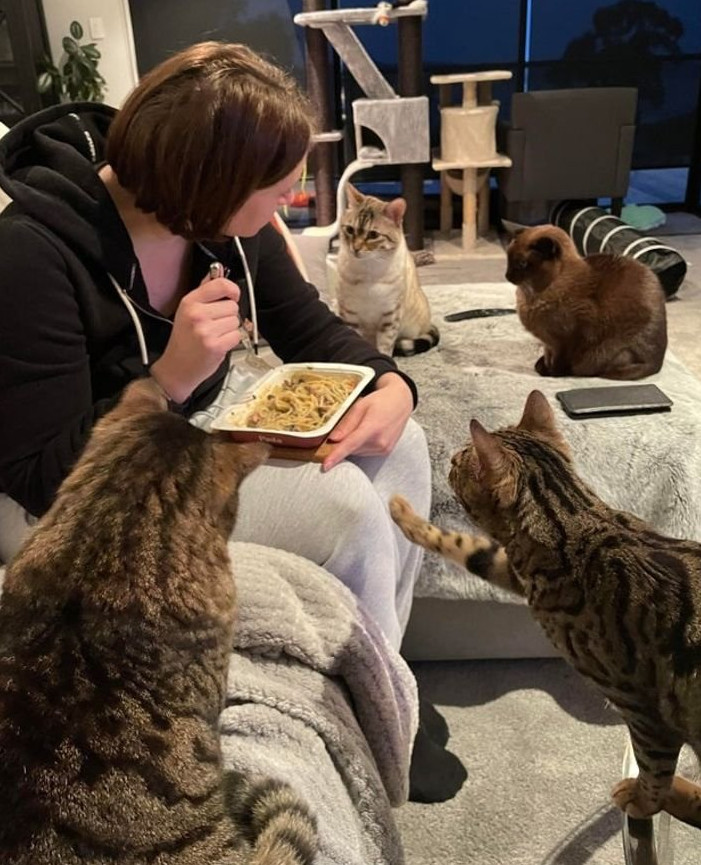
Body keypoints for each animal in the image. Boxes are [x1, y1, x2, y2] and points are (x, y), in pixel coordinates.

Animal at [335, 183, 439, 357]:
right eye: (350, 230)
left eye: (373, 235)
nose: (355, 248)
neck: (368, 270)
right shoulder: (350, 316)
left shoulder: (390, 317)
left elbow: (384, 347)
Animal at [390, 389, 701, 829]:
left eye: (459, 460)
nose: (448, 459)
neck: (577, 519)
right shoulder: (517, 570)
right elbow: (462, 545)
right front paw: (402, 513)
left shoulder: (646, 715)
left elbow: (653, 771)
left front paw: (645, 802)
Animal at [506, 224, 667, 380]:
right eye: (508, 260)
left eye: (522, 264)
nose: (507, 276)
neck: (532, 295)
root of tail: (658, 364)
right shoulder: (548, 343)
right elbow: (547, 356)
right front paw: (544, 367)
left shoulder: (564, 341)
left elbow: (558, 364)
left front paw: (552, 374)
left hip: (613, 351)